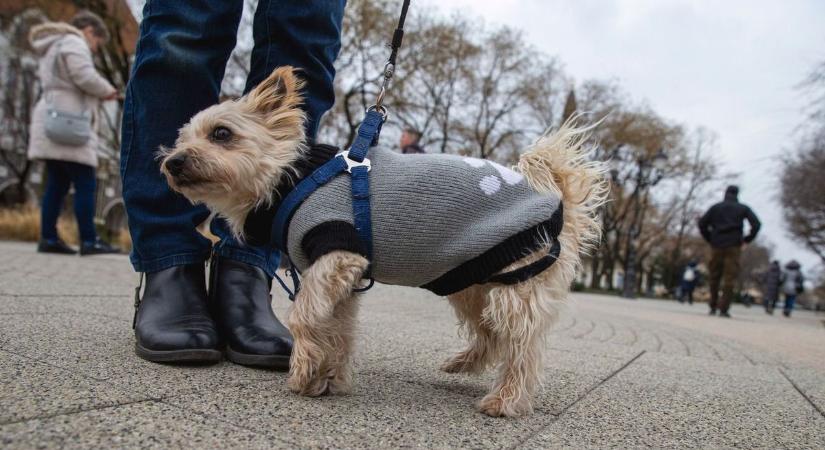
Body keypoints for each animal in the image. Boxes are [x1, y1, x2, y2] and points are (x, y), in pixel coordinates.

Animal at [161, 67, 608, 418]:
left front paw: (304, 370)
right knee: (491, 335)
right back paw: (463, 363)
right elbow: (337, 329)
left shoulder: (337, 254)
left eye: (222, 134)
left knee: (520, 347)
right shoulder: (340, 281)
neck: (293, 179)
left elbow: (304, 316)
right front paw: (328, 376)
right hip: (471, 282)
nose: (173, 161)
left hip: (513, 283)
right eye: (181, 139)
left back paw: (506, 400)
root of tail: (561, 204)